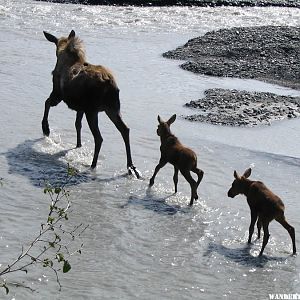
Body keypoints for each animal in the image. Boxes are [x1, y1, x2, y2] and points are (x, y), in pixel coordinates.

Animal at [41, 29, 140, 177]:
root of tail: (109, 84)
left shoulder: (58, 94)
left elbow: (46, 103)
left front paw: (46, 128)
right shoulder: (80, 108)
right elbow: (77, 124)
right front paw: (78, 144)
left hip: (93, 111)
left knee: (99, 138)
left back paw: (93, 164)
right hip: (112, 108)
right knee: (125, 129)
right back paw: (130, 166)